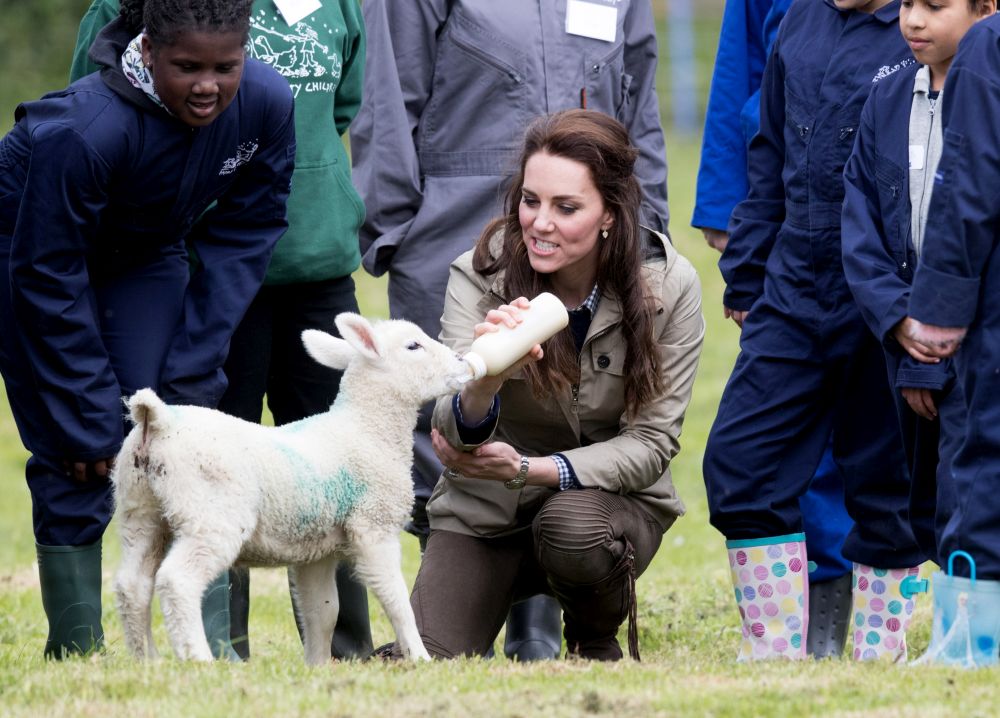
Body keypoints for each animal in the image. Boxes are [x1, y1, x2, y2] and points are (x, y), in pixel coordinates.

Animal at [109, 316, 472, 664]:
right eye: (413, 346)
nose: (463, 363)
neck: (365, 429)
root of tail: (158, 421)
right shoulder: (373, 526)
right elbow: (396, 600)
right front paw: (420, 657)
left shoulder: (317, 551)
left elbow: (322, 612)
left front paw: (317, 665)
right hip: (211, 514)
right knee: (177, 581)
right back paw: (199, 658)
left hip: (139, 509)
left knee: (132, 585)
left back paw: (149, 661)